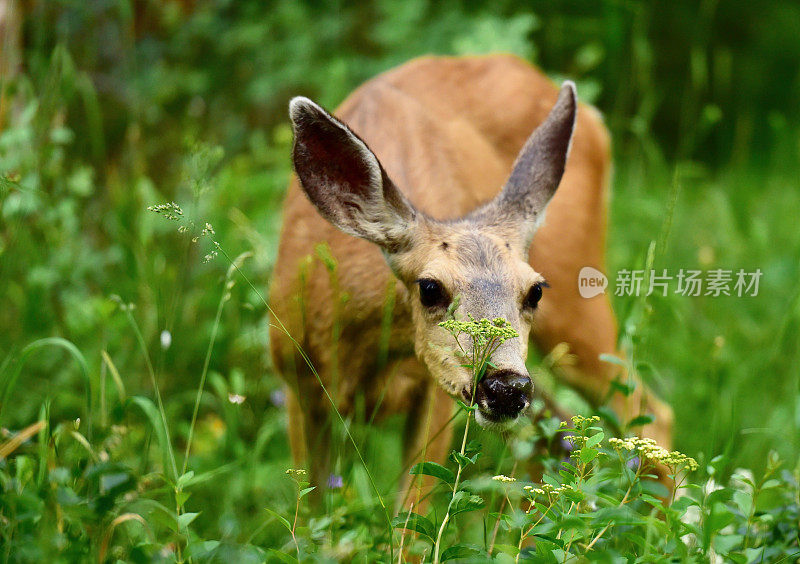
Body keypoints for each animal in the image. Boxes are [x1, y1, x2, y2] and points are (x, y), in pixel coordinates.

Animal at [270, 56, 676, 506]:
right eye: (429, 288)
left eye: (535, 291)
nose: (506, 387)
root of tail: (592, 117)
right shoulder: (297, 384)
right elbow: (308, 512)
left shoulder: (435, 389)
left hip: (578, 294)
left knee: (649, 415)